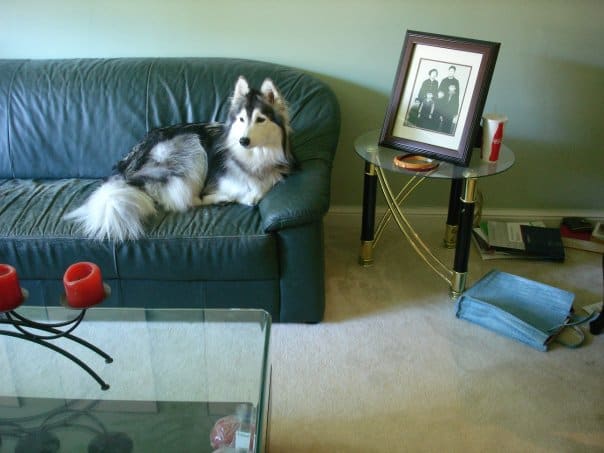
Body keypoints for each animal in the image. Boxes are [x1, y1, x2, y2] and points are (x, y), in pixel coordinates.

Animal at [65, 76, 294, 242]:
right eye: (241, 119)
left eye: (260, 119)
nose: (243, 140)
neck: (254, 156)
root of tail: (126, 168)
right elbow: (251, 192)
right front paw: (242, 194)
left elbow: (267, 182)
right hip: (192, 146)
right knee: (185, 199)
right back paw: (219, 198)